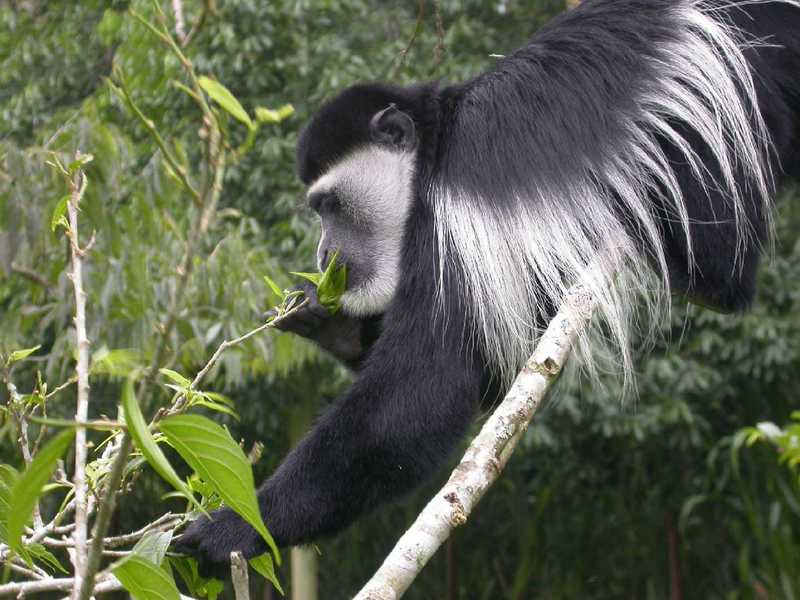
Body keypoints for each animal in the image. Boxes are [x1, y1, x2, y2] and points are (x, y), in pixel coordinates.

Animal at [177, 0, 800, 572]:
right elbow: (492, 363)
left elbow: (423, 391)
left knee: (722, 261)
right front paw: (327, 322)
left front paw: (234, 527)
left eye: (328, 205)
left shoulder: (451, 212)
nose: (324, 254)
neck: (434, 142)